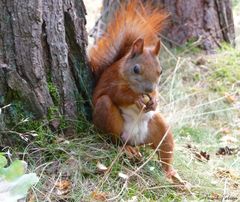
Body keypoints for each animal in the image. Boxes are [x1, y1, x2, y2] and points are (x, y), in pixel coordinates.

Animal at [89, 0, 179, 182]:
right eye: (136, 69)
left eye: (161, 71)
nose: (149, 88)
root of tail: (135, 140)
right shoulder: (111, 83)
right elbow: (118, 94)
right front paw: (135, 99)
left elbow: (154, 97)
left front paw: (155, 100)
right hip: (107, 115)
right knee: (114, 138)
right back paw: (126, 149)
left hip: (160, 129)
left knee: (165, 152)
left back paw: (171, 174)